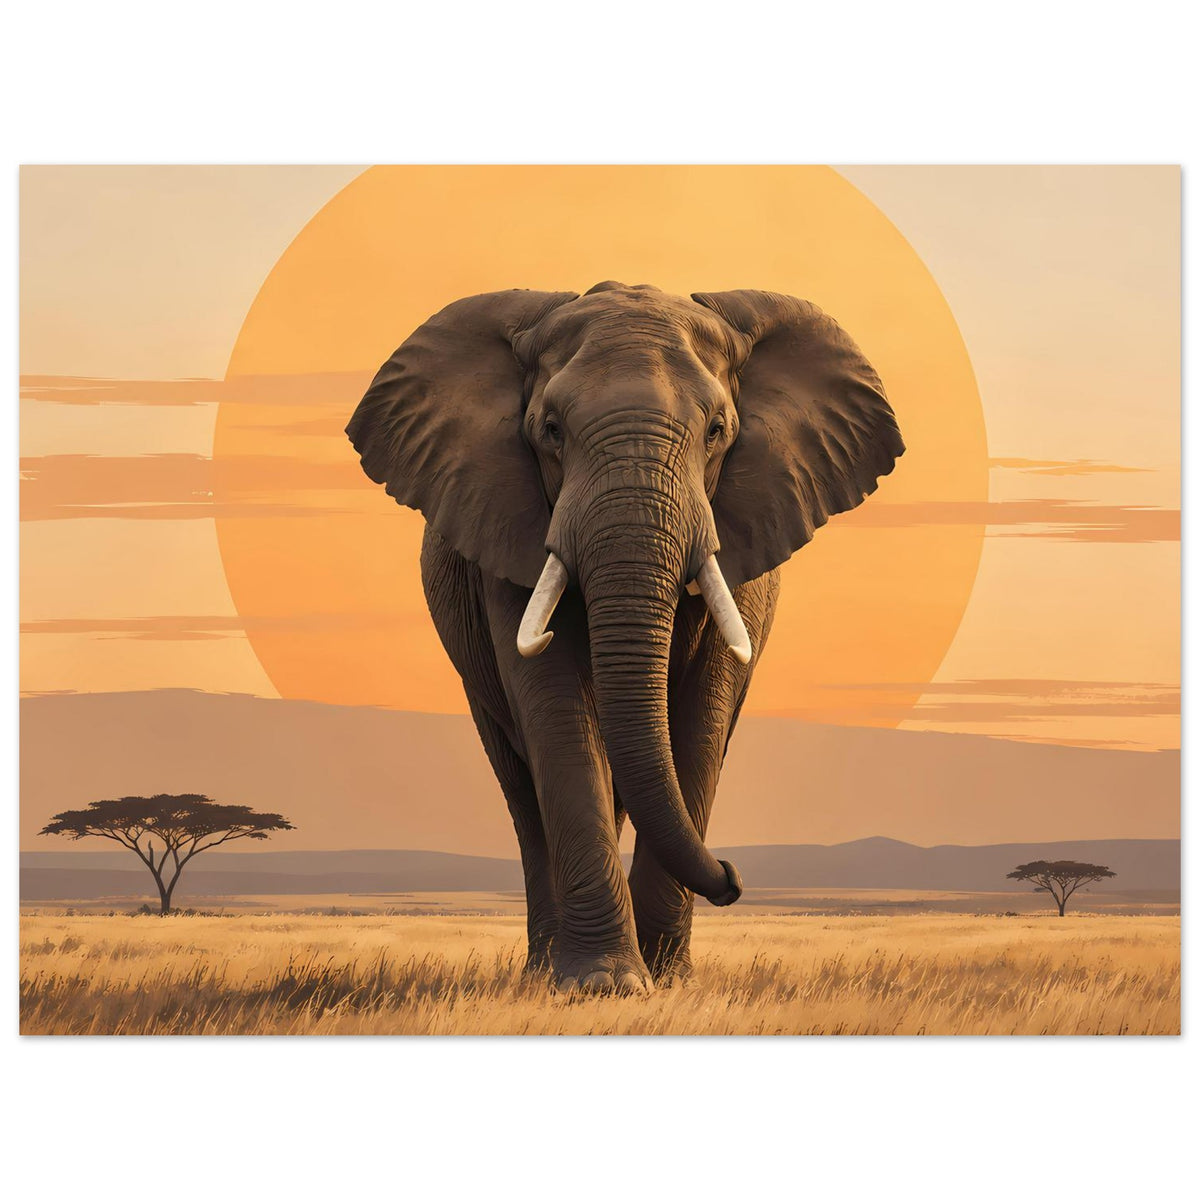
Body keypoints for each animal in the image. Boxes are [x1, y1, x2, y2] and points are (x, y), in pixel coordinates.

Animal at [346, 281, 903, 993]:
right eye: (550, 431)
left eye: (718, 431)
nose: (733, 879)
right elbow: (555, 709)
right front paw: (604, 986)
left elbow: (702, 716)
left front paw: (668, 982)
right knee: (523, 789)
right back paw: (543, 972)